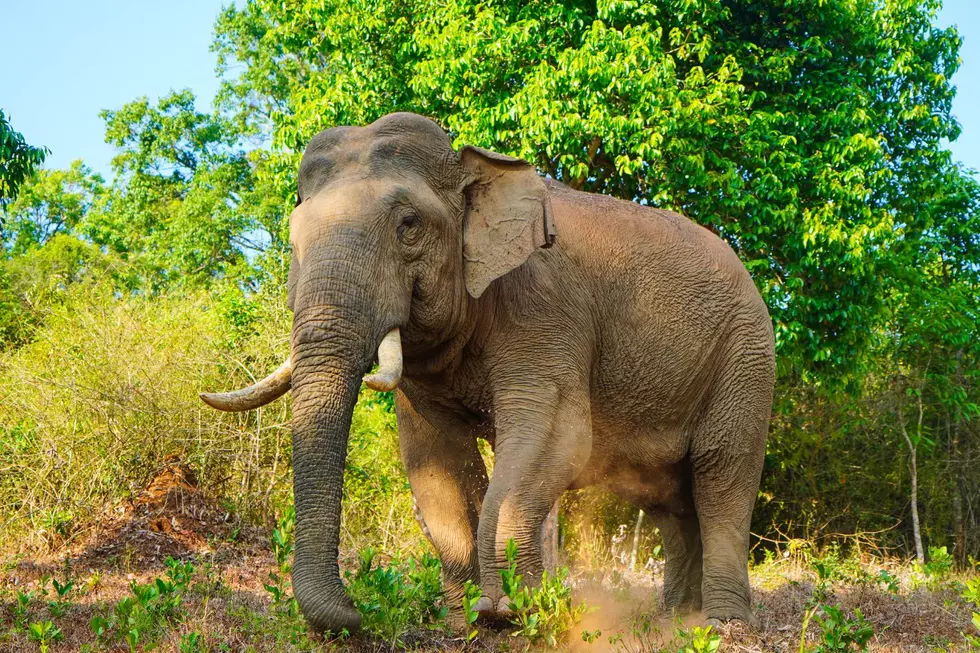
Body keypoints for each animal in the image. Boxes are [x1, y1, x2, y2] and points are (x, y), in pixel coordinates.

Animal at [201, 112, 775, 633]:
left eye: (409, 227)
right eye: (292, 238)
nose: (354, 614)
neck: (473, 166)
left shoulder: (545, 309)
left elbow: (557, 439)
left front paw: (510, 613)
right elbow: (434, 455)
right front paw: (465, 624)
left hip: (747, 358)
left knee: (721, 472)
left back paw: (722, 625)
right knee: (668, 500)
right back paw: (674, 620)